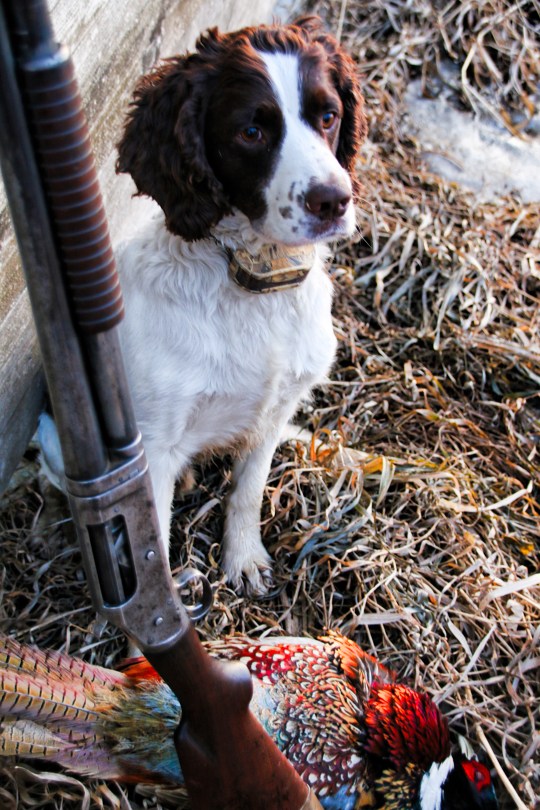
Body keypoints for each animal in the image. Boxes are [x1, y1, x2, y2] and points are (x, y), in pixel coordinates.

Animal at [114, 16, 366, 595]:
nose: (334, 200)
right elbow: (155, 546)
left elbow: (247, 491)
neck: (258, 287)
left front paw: (244, 559)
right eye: (250, 133)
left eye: (328, 116)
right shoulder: (154, 444)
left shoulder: (274, 410)